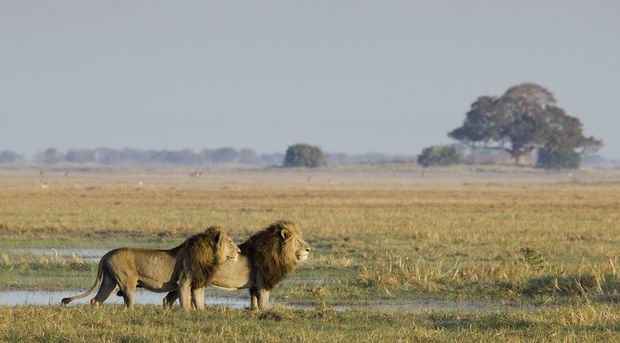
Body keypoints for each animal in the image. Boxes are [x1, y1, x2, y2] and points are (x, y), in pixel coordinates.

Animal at [60, 227, 240, 310]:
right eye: (231, 242)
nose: (239, 251)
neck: (210, 255)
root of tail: (108, 253)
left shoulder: (198, 284)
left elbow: (199, 303)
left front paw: (199, 313)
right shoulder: (183, 282)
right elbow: (185, 303)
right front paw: (187, 314)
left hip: (109, 282)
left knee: (95, 299)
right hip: (126, 282)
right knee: (128, 302)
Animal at [160, 222, 310, 314]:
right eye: (298, 241)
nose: (309, 249)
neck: (278, 253)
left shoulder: (255, 285)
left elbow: (254, 300)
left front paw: (254, 311)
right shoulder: (263, 283)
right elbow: (263, 302)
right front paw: (263, 313)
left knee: (169, 298)